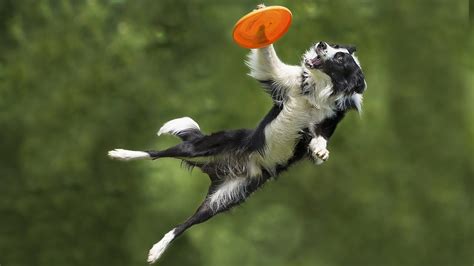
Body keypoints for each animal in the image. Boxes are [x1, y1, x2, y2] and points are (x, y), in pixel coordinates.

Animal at [108, 40, 366, 262]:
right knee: (155, 153)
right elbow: (268, 59)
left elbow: (319, 140)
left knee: (186, 223)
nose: (321, 44)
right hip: (197, 148)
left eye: (341, 57)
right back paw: (121, 153)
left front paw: (321, 152)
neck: (318, 91)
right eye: (334, 45)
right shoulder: (281, 80)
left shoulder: (325, 124)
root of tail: (222, 166)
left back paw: (156, 250)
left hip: (222, 199)